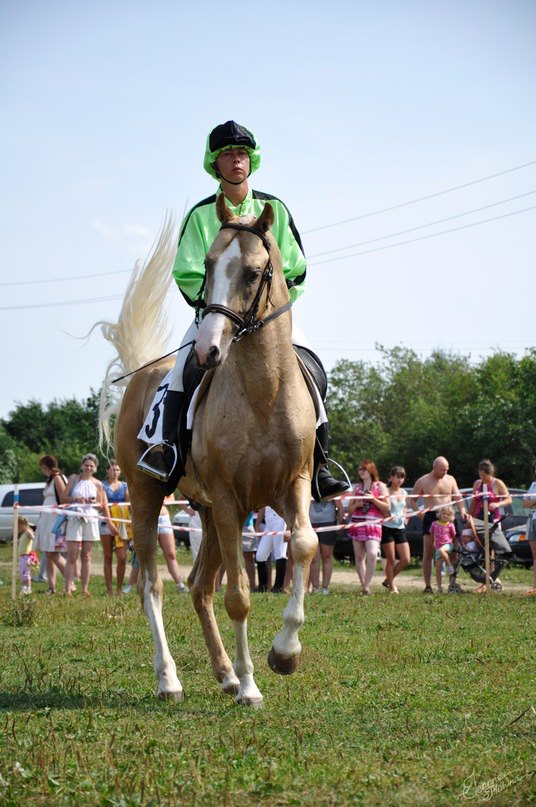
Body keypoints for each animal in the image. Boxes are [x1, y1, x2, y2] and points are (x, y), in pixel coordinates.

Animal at [99, 196, 318, 708]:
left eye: (255, 273)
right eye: (209, 265)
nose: (207, 351)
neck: (262, 393)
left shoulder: (289, 487)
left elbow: (304, 544)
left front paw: (285, 653)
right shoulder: (227, 498)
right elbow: (238, 596)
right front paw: (253, 686)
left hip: (209, 514)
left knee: (199, 588)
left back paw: (225, 674)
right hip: (150, 499)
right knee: (153, 586)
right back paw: (170, 679)